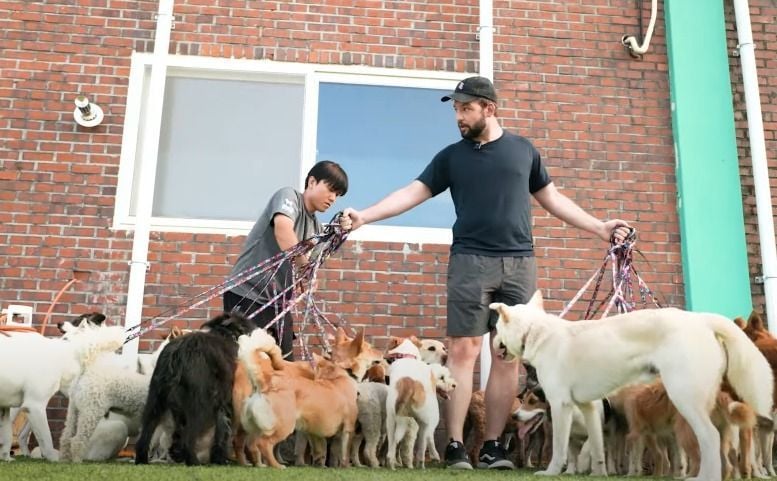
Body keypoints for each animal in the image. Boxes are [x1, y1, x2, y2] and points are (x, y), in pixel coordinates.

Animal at [133, 312, 255, 464]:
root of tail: (178, 353)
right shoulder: (224, 403)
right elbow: (222, 432)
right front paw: (219, 459)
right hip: (198, 405)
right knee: (188, 437)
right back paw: (194, 461)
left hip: (155, 401)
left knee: (145, 436)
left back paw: (142, 459)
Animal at [488, 288, 772, 480]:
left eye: (497, 327)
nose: (492, 343)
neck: (535, 331)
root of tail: (700, 318)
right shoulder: (590, 409)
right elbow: (597, 449)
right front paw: (599, 474)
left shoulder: (560, 405)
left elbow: (560, 448)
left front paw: (551, 472)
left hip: (685, 399)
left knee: (710, 438)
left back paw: (703, 478)